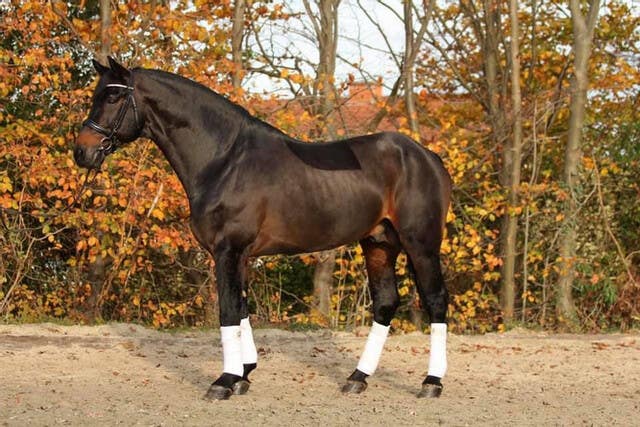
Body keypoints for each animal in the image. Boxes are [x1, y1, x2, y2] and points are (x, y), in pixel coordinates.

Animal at [74, 57, 452, 400]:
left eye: (113, 97)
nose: (82, 152)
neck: (225, 159)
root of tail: (428, 158)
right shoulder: (239, 255)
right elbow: (242, 308)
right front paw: (243, 374)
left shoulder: (228, 249)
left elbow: (228, 309)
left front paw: (224, 381)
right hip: (379, 243)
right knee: (386, 303)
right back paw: (357, 378)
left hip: (421, 244)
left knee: (435, 300)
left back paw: (431, 382)